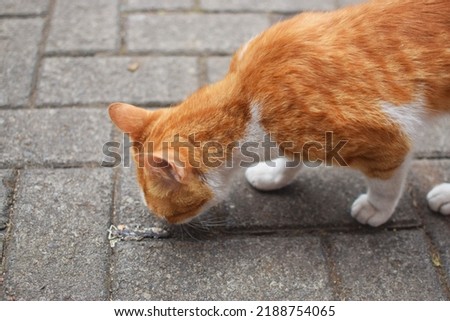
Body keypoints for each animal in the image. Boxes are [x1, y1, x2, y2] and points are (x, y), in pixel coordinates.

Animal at [109, 0, 450, 225]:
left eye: (164, 208)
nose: (161, 222)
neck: (249, 98)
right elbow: (292, 160)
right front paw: (274, 175)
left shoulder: (389, 141)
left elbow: (385, 184)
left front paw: (376, 210)